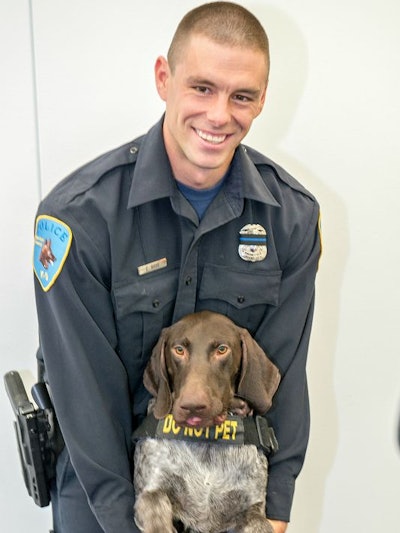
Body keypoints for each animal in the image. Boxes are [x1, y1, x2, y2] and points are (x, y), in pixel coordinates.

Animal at [133, 310, 280, 528]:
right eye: (179, 350)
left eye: (222, 349)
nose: (193, 406)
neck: (207, 440)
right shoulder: (150, 492)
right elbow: (157, 516)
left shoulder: (253, 508)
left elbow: (259, 523)